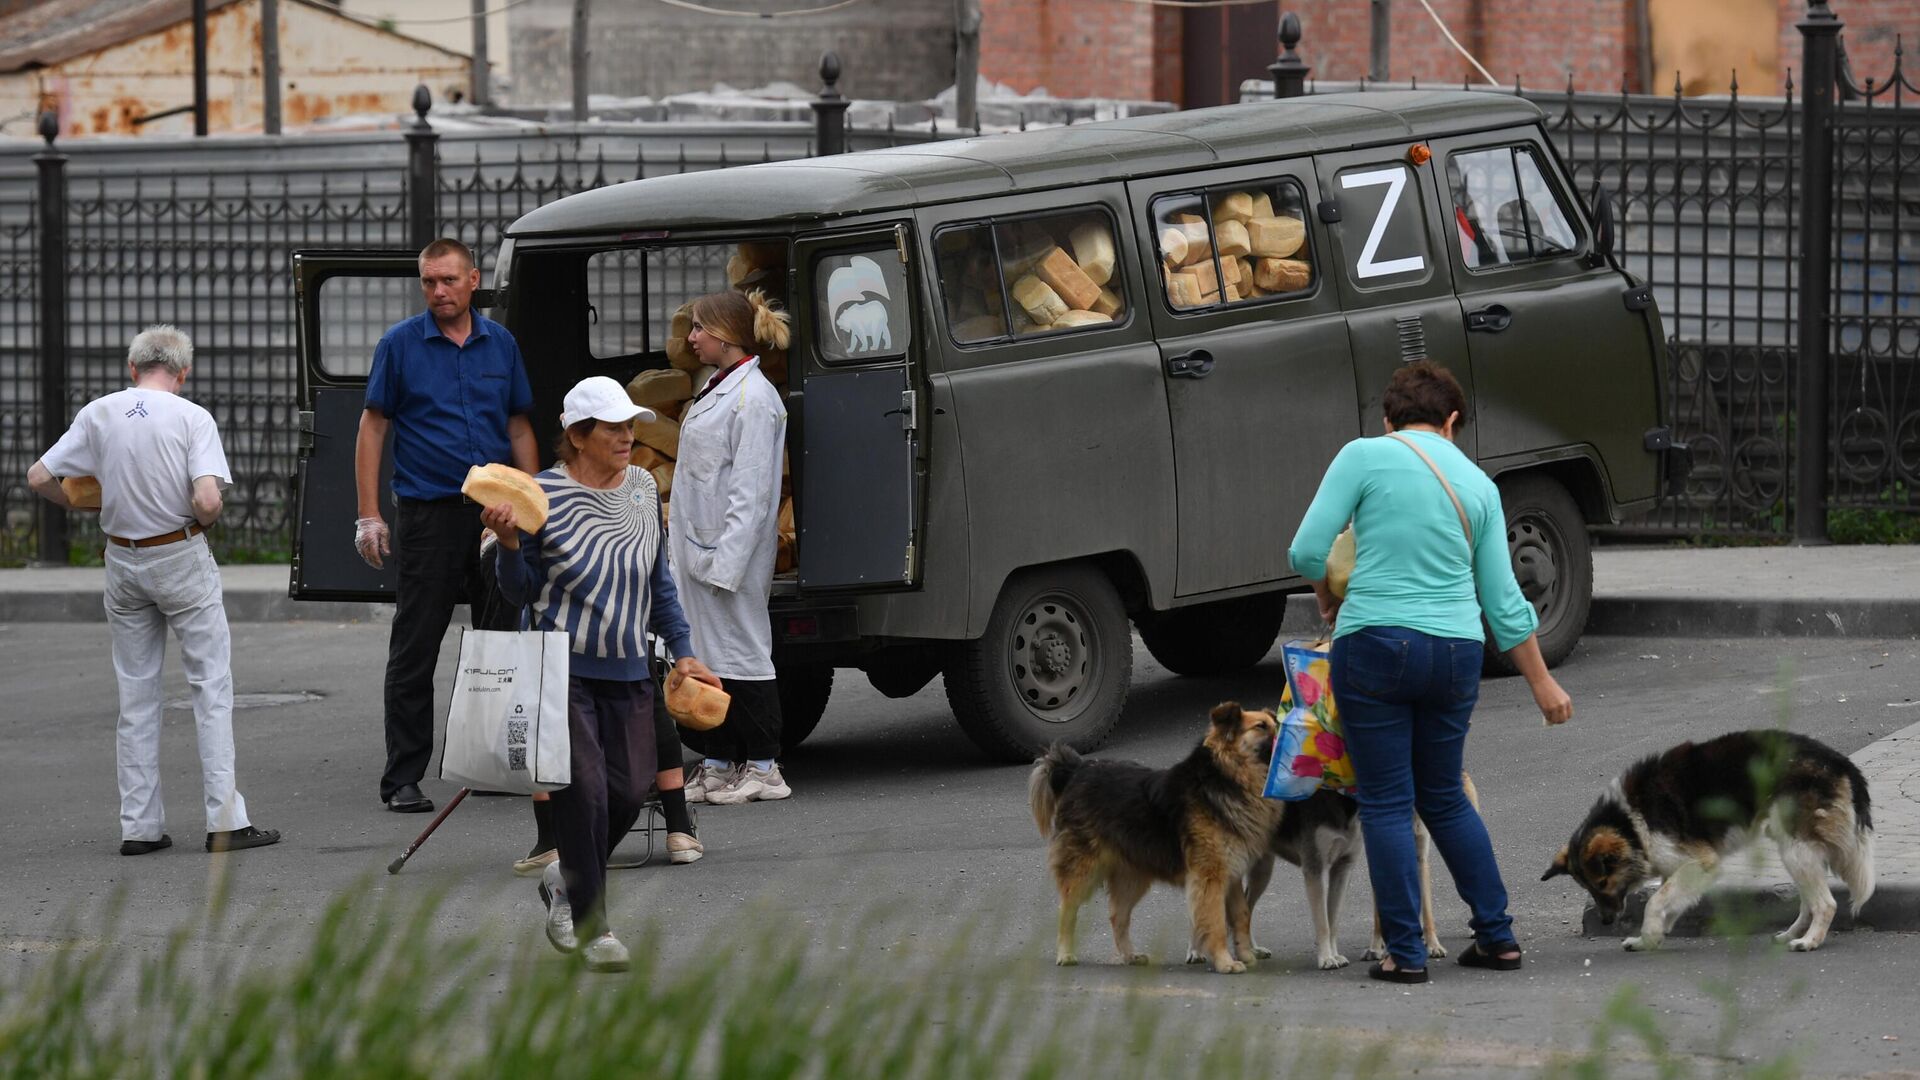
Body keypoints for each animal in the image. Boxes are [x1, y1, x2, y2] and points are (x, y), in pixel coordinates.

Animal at [1029, 703, 1282, 972]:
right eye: (1261, 726)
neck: (1225, 777)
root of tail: (1077, 770)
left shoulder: (1232, 874)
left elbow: (1241, 916)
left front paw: (1246, 955)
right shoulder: (1210, 877)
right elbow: (1216, 923)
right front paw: (1225, 962)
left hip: (1132, 875)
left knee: (1117, 915)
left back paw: (1130, 955)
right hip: (1084, 870)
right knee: (1067, 910)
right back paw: (1065, 954)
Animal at [1190, 764, 1489, 968]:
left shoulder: (1420, 857)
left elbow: (1426, 910)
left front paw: (1432, 944)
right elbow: (1379, 912)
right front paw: (1377, 948)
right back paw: (1197, 951)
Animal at [1543, 726, 1873, 945]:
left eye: (1601, 882)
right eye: (1587, 887)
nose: (1606, 921)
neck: (1631, 824)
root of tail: (1839, 760)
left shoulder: (1700, 863)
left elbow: (1655, 902)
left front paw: (1648, 935)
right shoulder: (1677, 867)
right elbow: (1669, 902)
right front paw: (1652, 937)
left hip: (1796, 849)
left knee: (1826, 904)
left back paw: (1809, 941)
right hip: (1796, 852)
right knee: (1809, 902)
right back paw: (1792, 934)